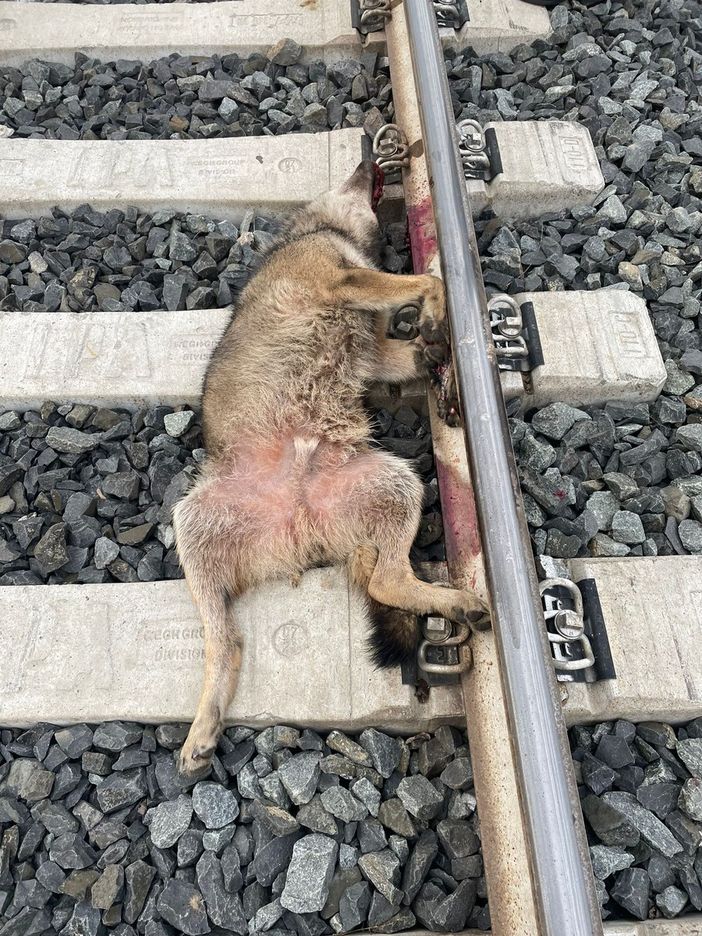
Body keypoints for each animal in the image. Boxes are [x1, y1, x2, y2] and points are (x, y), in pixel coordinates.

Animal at [173, 160, 487, 773]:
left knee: (373, 581)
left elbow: (398, 352)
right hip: (195, 519)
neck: (319, 228)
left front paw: (436, 358)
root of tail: (299, 529)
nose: (374, 154)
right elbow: (426, 284)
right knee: (230, 640)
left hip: (388, 484)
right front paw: (434, 312)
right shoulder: (336, 279)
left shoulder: (373, 348)